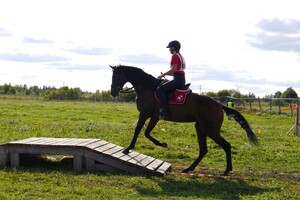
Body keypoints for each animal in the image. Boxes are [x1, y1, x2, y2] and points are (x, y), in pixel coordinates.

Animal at [110, 64, 258, 175]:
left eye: (116, 75)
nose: (113, 92)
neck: (147, 87)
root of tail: (219, 105)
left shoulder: (145, 114)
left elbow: (138, 131)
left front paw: (128, 149)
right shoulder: (154, 117)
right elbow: (147, 133)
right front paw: (162, 144)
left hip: (210, 130)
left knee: (226, 145)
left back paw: (227, 170)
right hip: (200, 128)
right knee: (203, 150)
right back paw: (189, 169)